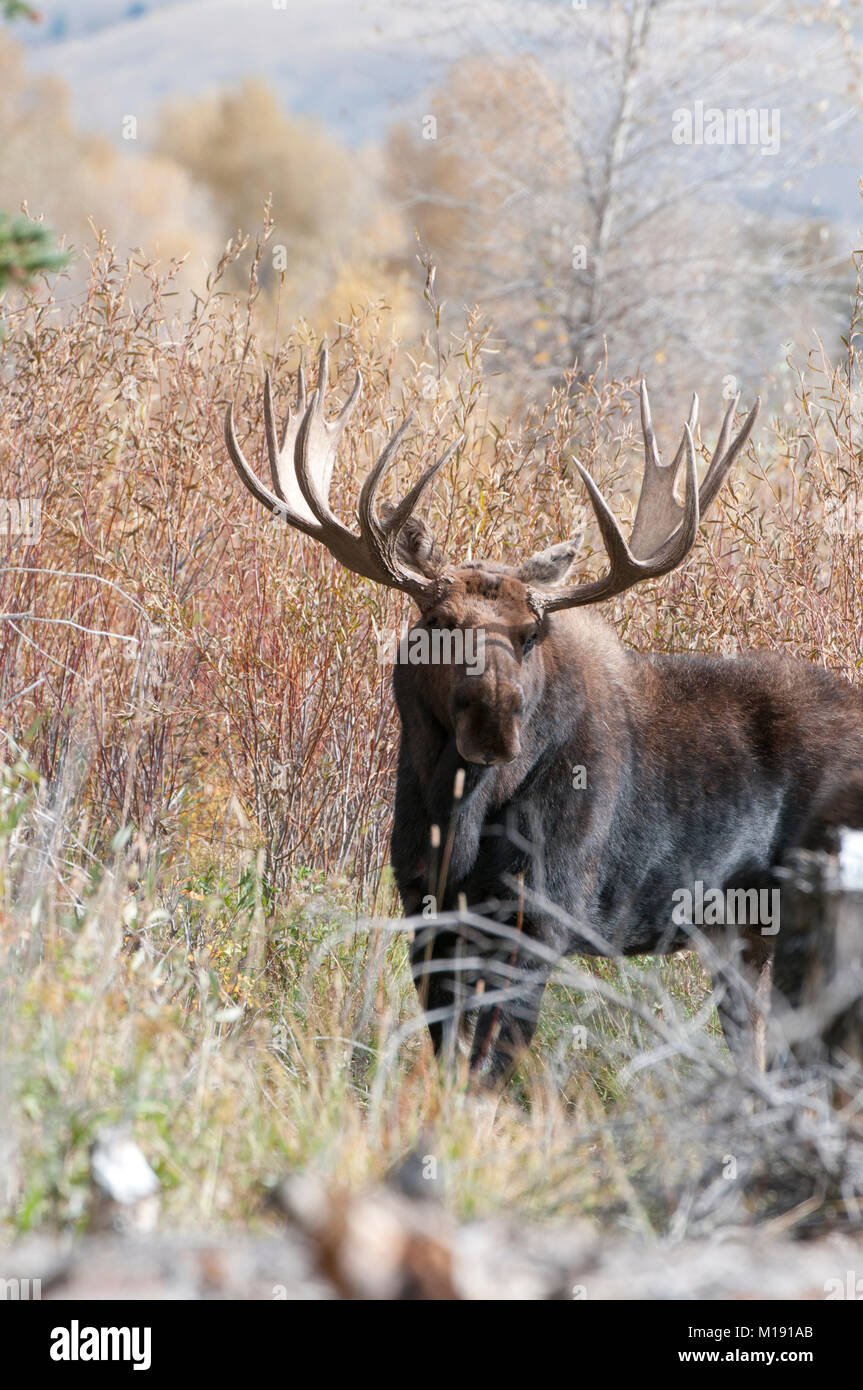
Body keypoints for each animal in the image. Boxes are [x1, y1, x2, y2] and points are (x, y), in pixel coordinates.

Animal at [225, 347, 861, 1084]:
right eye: (439, 622)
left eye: (530, 633)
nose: (494, 723)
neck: (457, 813)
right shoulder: (424, 906)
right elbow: (449, 1055)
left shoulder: (540, 916)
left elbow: (491, 1065)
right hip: (742, 933)